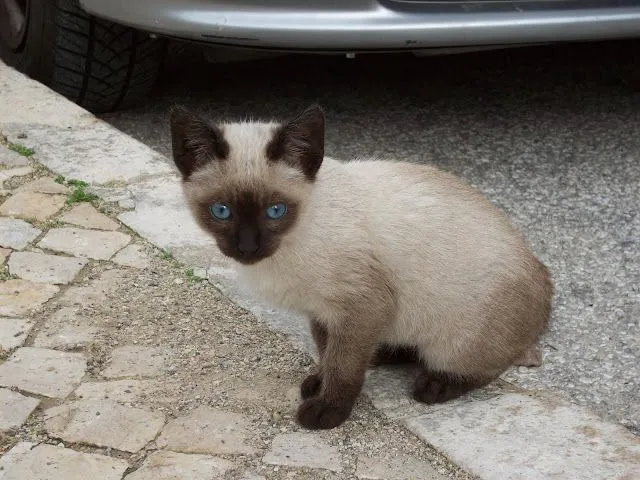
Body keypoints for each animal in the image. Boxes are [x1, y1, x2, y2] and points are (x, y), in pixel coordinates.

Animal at [171, 104, 556, 428]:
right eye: (221, 211)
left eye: (275, 211)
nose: (248, 246)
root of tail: (544, 276)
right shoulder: (325, 313)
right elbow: (327, 353)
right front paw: (318, 383)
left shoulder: (360, 308)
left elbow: (343, 367)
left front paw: (326, 411)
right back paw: (384, 353)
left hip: (451, 338)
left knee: (485, 367)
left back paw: (434, 385)